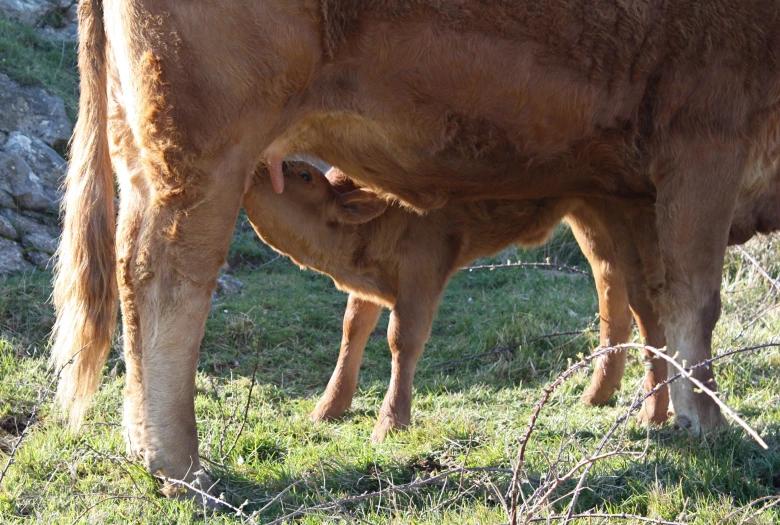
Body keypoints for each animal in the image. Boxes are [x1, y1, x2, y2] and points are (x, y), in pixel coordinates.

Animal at [51, 0, 776, 492]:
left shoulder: (628, 192)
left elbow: (653, 297)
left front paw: (668, 412)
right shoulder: (704, 135)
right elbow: (692, 294)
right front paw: (707, 418)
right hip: (203, 144)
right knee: (167, 273)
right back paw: (177, 462)